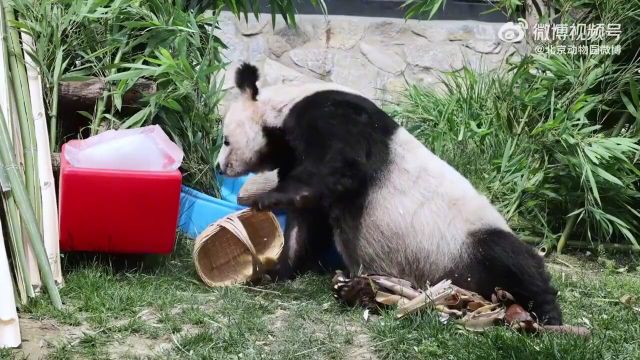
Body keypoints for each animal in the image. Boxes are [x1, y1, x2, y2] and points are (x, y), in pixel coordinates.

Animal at [216, 63, 564, 324]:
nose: (220, 167)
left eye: (226, 140)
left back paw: (546, 313)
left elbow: (342, 165)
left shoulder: (333, 116)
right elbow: (307, 220)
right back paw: (360, 291)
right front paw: (275, 271)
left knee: (513, 259)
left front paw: (265, 199)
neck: (284, 105)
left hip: (467, 237)